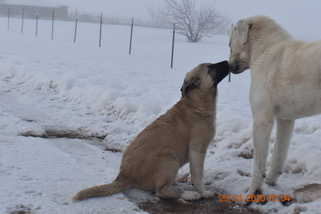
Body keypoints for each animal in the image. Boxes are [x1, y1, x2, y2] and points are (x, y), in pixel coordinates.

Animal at [73, 61, 229, 201]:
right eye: (210, 67)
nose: (227, 61)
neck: (197, 101)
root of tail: (124, 174)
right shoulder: (198, 148)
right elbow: (197, 176)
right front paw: (203, 192)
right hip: (169, 155)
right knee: (161, 191)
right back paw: (188, 194)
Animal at [228, 15, 320, 196]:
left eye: (229, 44)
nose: (228, 66)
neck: (264, 49)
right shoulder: (285, 120)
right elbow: (279, 152)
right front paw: (271, 181)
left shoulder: (261, 120)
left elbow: (258, 163)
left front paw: (252, 192)